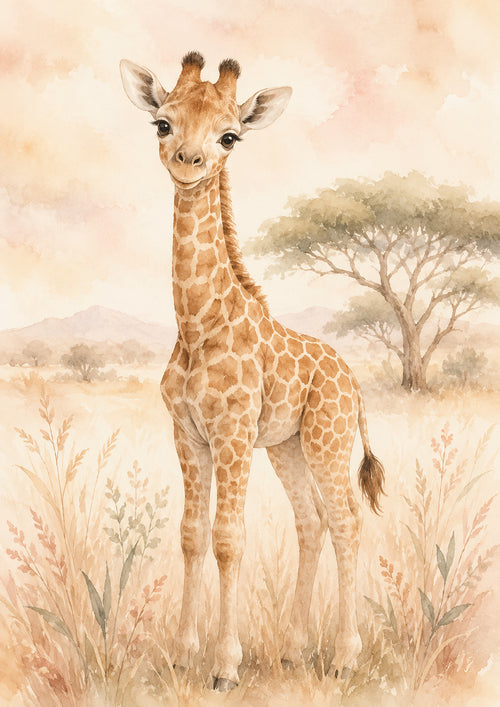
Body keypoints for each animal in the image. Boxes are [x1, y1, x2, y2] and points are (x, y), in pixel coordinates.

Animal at [120, 51, 385, 691]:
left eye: (229, 137)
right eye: (162, 123)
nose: (187, 163)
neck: (197, 326)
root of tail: (355, 384)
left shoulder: (233, 435)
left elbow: (228, 539)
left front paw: (225, 667)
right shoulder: (188, 435)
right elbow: (192, 535)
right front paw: (184, 655)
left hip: (326, 441)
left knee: (346, 522)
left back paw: (343, 657)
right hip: (288, 447)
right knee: (312, 521)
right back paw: (291, 650)